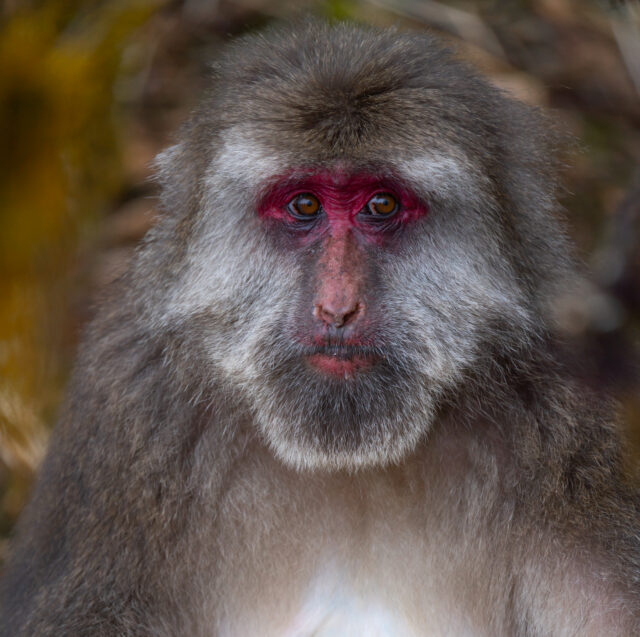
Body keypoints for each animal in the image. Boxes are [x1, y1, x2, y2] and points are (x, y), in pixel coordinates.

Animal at [1, 19, 639, 637]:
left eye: (381, 205)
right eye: (304, 205)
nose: (337, 309)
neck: (344, 460)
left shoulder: (572, 420)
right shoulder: (130, 412)